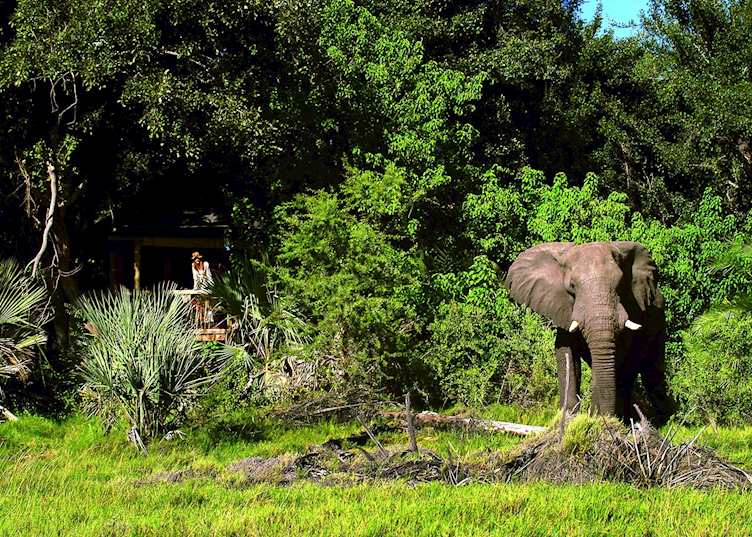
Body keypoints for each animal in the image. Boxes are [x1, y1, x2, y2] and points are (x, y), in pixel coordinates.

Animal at [505, 241, 675, 425]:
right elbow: (566, 353)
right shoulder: (565, 309)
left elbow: (614, 357)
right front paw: (570, 418)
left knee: (649, 373)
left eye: (620, 284)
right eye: (572, 286)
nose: (605, 417)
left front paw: (595, 419)